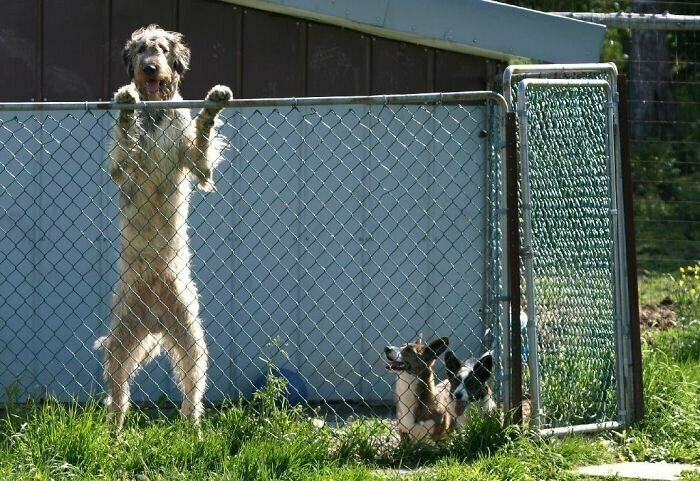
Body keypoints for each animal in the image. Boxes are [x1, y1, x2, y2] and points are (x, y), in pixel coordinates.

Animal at [95, 24, 232, 430]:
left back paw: (193, 428)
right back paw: (115, 430)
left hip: (190, 336)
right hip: (122, 338)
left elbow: (202, 139)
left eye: (163, 49)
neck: (156, 114)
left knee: (192, 386)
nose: (150, 68)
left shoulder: (197, 162)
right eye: (141, 49)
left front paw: (212, 105)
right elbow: (125, 145)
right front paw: (126, 105)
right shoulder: (124, 167)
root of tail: (154, 318)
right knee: (118, 391)